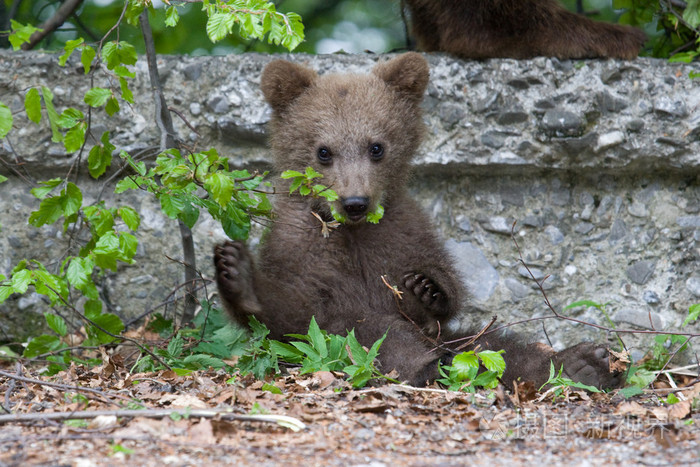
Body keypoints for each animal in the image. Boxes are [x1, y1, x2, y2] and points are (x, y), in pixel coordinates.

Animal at [214, 53, 623, 388]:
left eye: (376, 146)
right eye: (323, 151)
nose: (355, 202)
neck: (353, 233)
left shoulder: (405, 232)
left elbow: (440, 291)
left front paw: (428, 288)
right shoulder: (299, 243)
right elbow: (298, 313)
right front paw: (240, 276)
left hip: (457, 338)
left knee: (495, 346)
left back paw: (583, 363)